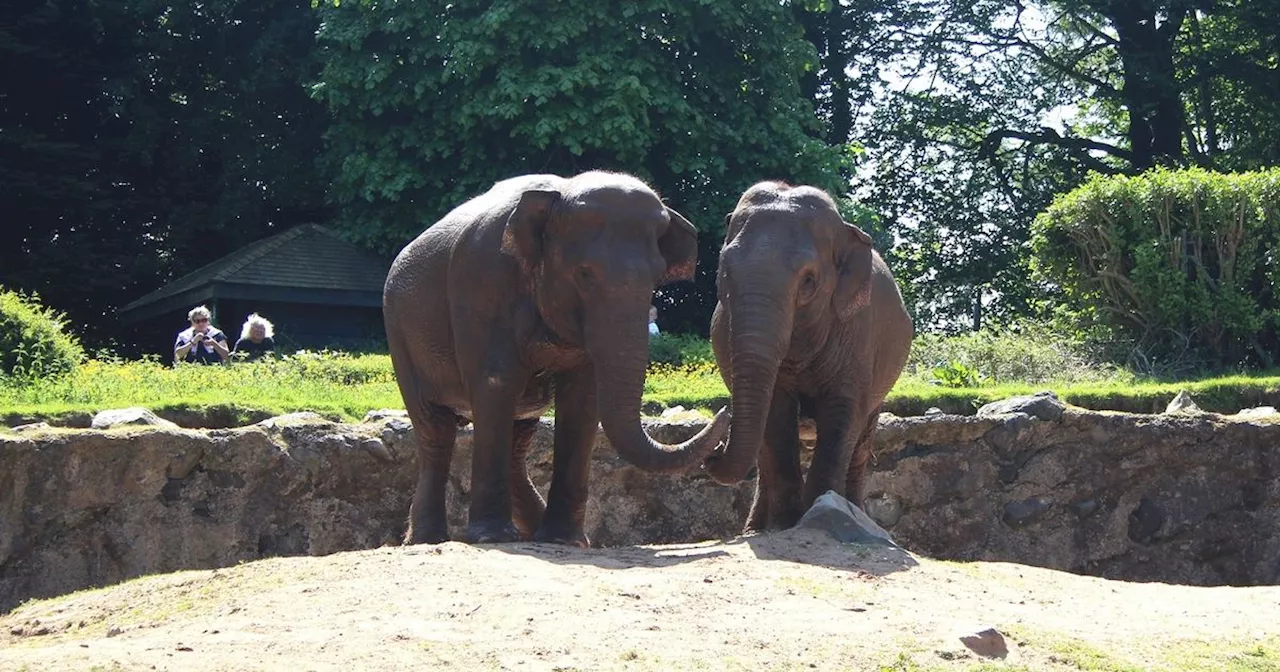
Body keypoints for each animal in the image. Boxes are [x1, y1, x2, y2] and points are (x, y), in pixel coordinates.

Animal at [381, 170, 732, 547]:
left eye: (657, 276)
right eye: (584, 274)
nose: (725, 414)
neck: (559, 194)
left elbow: (582, 399)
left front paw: (566, 541)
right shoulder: (482, 285)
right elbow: (496, 383)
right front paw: (491, 537)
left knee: (517, 435)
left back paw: (532, 531)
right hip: (399, 333)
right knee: (436, 430)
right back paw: (427, 540)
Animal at [706, 180, 916, 532]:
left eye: (809, 280)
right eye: (724, 272)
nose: (716, 446)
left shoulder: (858, 333)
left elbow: (842, 414)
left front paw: (822, 516)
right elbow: (776, 416)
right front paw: (784, 526)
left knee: (860, 446)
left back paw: (858, 515)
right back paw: (755, 529)